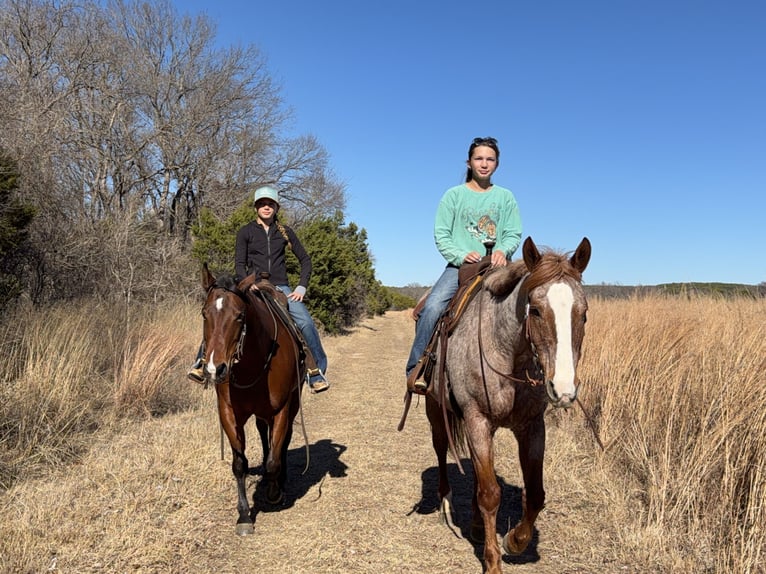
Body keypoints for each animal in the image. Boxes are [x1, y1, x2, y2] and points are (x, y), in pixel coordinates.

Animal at [198, 265, 306, 536]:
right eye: (204, 314)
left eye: (239, 316)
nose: (215, 369)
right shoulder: (229, 413)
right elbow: (239, 463)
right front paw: (244, 515)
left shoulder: (281, 410)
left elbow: (273, 460)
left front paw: (274, 492)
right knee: (263, 434)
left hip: (293, 402)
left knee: (283, 442)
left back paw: (281, 479)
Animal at [422, 236, 591, 574]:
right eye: (535, 311)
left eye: (583, 314)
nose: (564, 389)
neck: (509, 354)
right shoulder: (476, 419)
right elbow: (490, 495)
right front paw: (493, 561)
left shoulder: (531, 426)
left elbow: (535, 493)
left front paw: (515, 541)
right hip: (436, 410)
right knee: (441, 446)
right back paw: (445, 501)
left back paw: (475, 524)